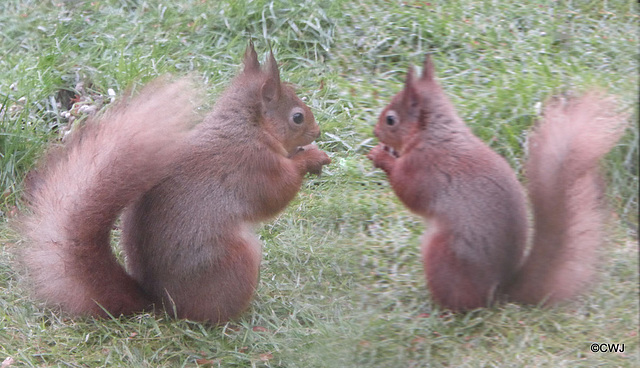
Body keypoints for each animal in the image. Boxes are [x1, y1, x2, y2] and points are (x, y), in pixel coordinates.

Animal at [15, 43, 330, 324]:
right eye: (297, 117)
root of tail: (161, 303)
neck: (246, 127)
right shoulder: (256, 166)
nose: (317, 131)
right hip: (236, 260)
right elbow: (278, 192)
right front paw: (312, 157)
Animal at [370, 56, 624, 312]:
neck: (432, 134)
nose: (375, 131)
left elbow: (408, 191)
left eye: (391, 119)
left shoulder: (424, 167)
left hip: (443, 255)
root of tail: (497, 294)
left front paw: (381, 157)